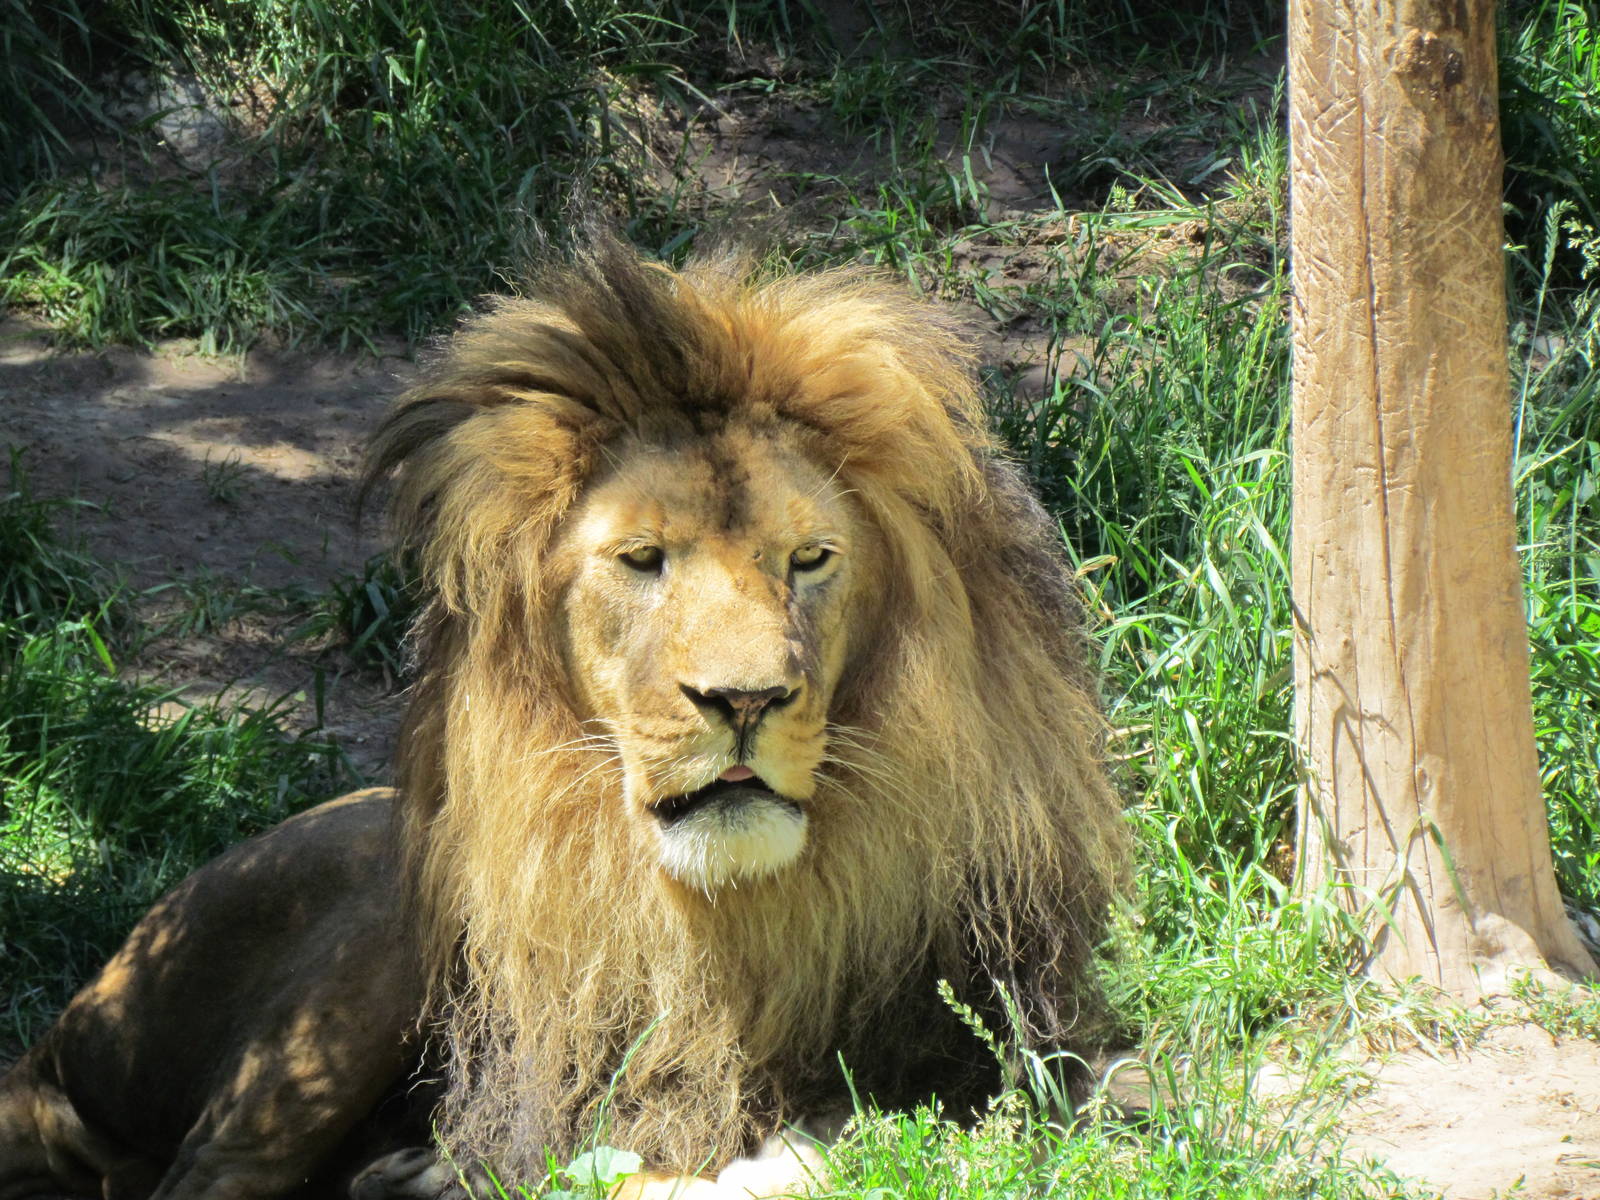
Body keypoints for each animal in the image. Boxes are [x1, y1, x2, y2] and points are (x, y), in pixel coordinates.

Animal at [0, 234, 1127, 1200]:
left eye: (809, 558)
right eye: (642, 560)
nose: (744, 699)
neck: (737, 924)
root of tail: (55, 1042)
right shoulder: (536, 1120)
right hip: (363, 941)